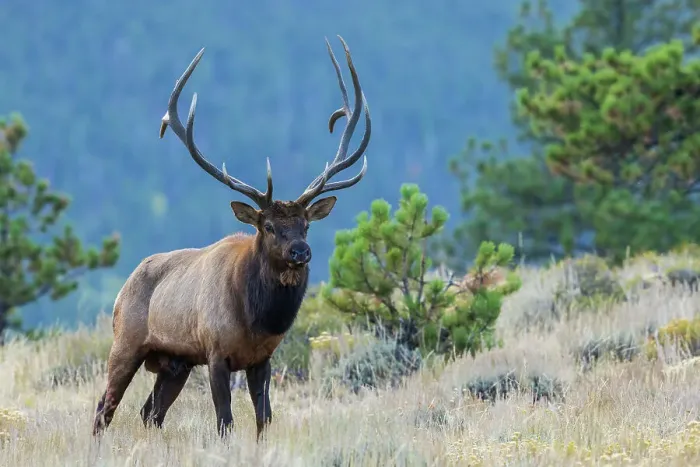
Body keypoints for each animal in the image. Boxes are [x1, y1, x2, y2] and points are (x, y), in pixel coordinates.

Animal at [91, 36, 371, 440]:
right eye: (267, 226)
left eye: (305, 224)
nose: (301, 251)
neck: (256, 319)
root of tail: (124, 286)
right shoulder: (215, 352)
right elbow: (225, 421)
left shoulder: (263, 358)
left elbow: (263, 419)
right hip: (125, 342)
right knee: (104, 408)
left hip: (175, 363)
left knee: (150, 412)